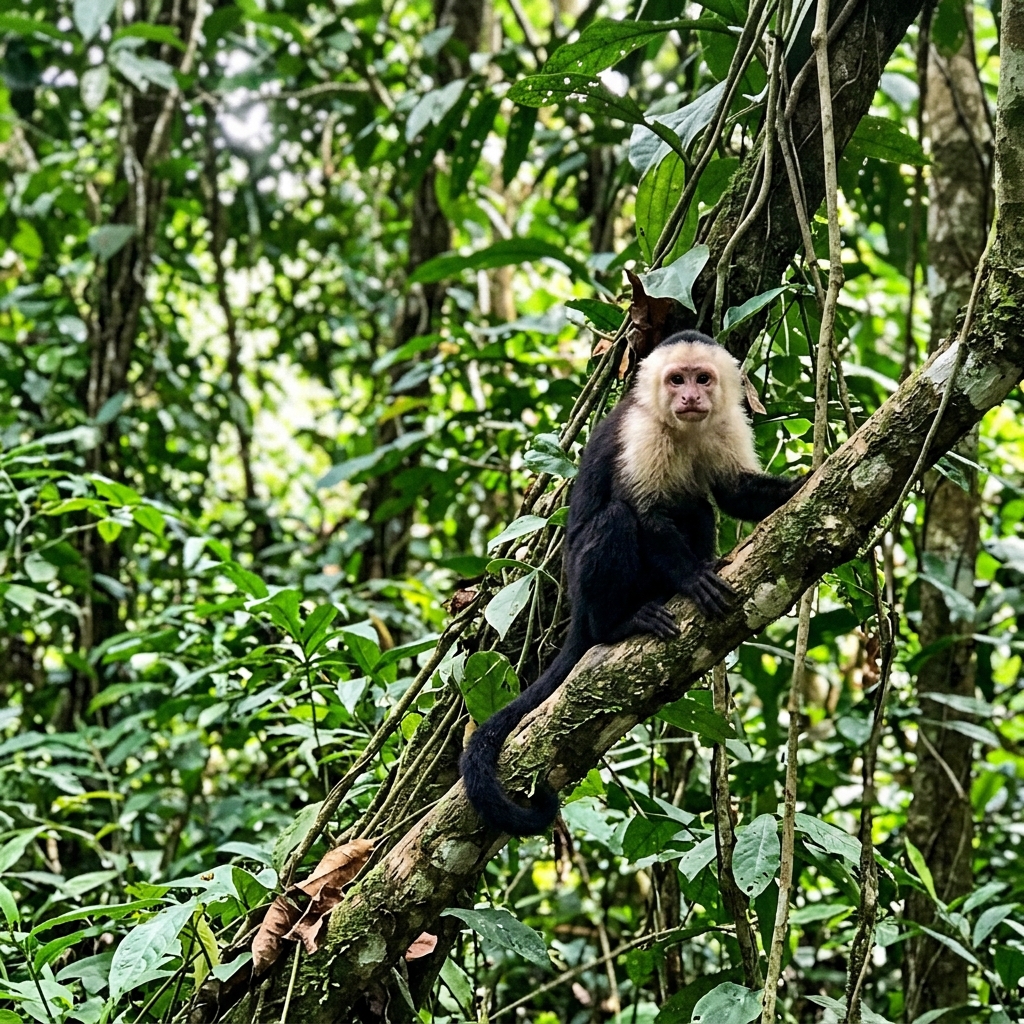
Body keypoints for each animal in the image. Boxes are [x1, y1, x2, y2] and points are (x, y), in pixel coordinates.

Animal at [460, 330, 806, 837]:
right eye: (676, 379)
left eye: (703, 379)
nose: (690, 398)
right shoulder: (642, 432)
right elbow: (645, 515)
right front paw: (693, 579)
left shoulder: (727, 421)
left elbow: (732, 492)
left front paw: (799, 485)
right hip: (582, 585)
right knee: (618, 520)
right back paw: (619, 624)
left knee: (695, 504)